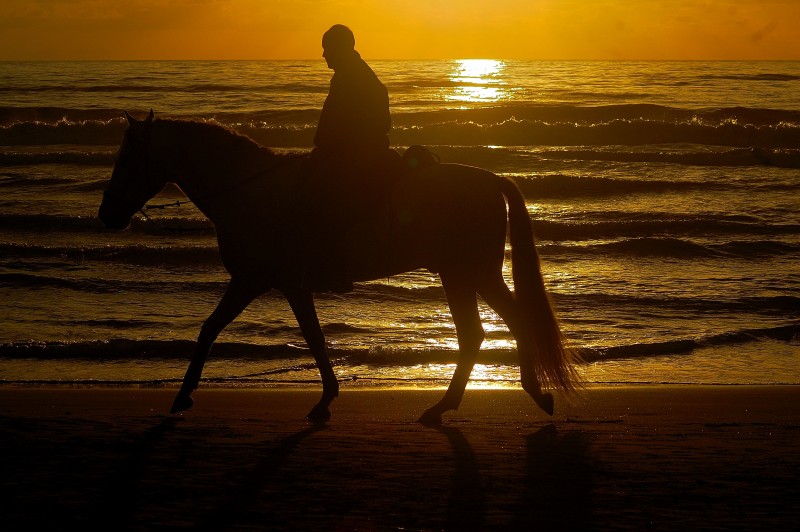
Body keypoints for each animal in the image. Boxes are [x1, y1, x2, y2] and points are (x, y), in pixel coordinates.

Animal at [98, 109, 576, 424]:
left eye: (127, 159)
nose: (107, 214)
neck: (251, 193)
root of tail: (490, 179)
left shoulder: (266, 281)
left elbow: (287, 335)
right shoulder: (266, 282)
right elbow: (223, 329)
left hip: (466, 272)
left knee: (498, 325)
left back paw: (503, 398)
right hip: (465, 273)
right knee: (489, 329)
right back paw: (468, 402)